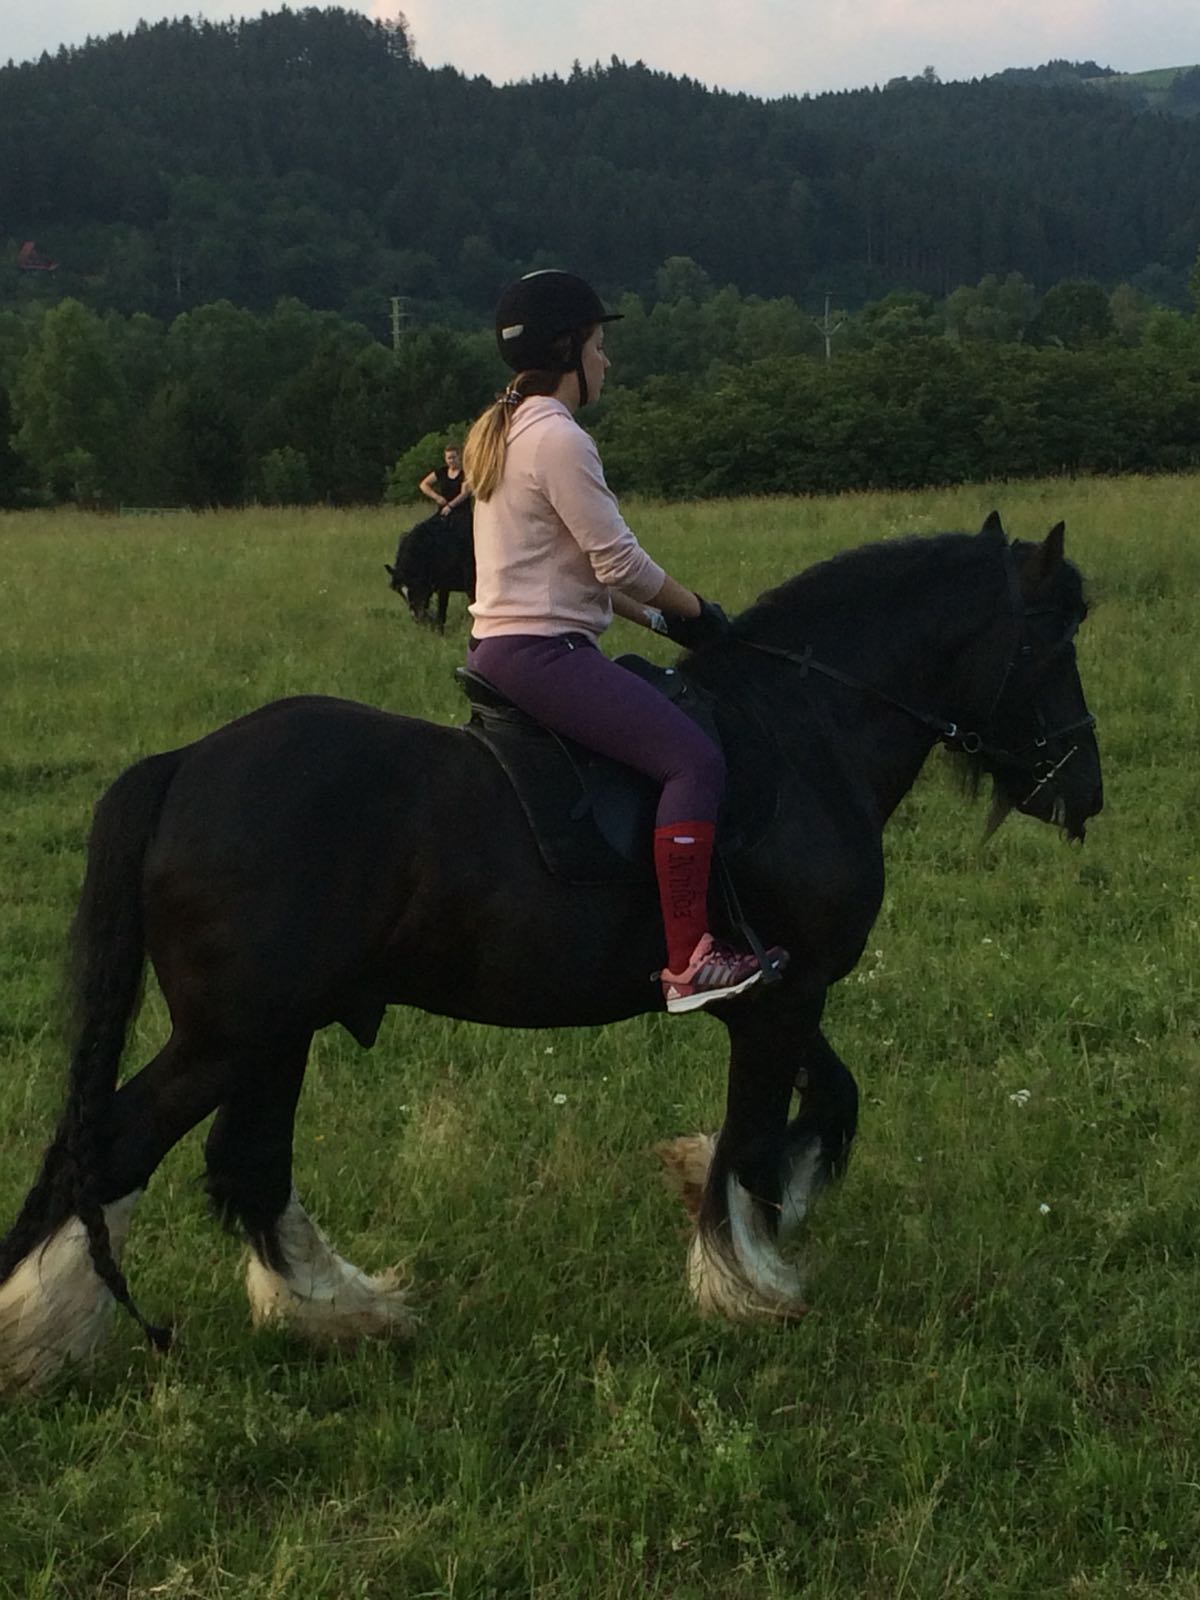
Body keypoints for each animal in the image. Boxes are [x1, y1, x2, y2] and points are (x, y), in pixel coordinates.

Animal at [0, 513, 1102, 1391]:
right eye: (1051, 644)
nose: (1084, 792)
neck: (802, 733)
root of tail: (185, 764)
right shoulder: (784, 999)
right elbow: (758, 1133)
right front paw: (745, 1282)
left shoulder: (779, 990)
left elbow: (827, 1104)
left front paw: (734, 1205)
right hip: (231, 1035)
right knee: (117, 1146)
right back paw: (37, 1335)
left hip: (276, 1033)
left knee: (245, 1164)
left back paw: (341, 1310)